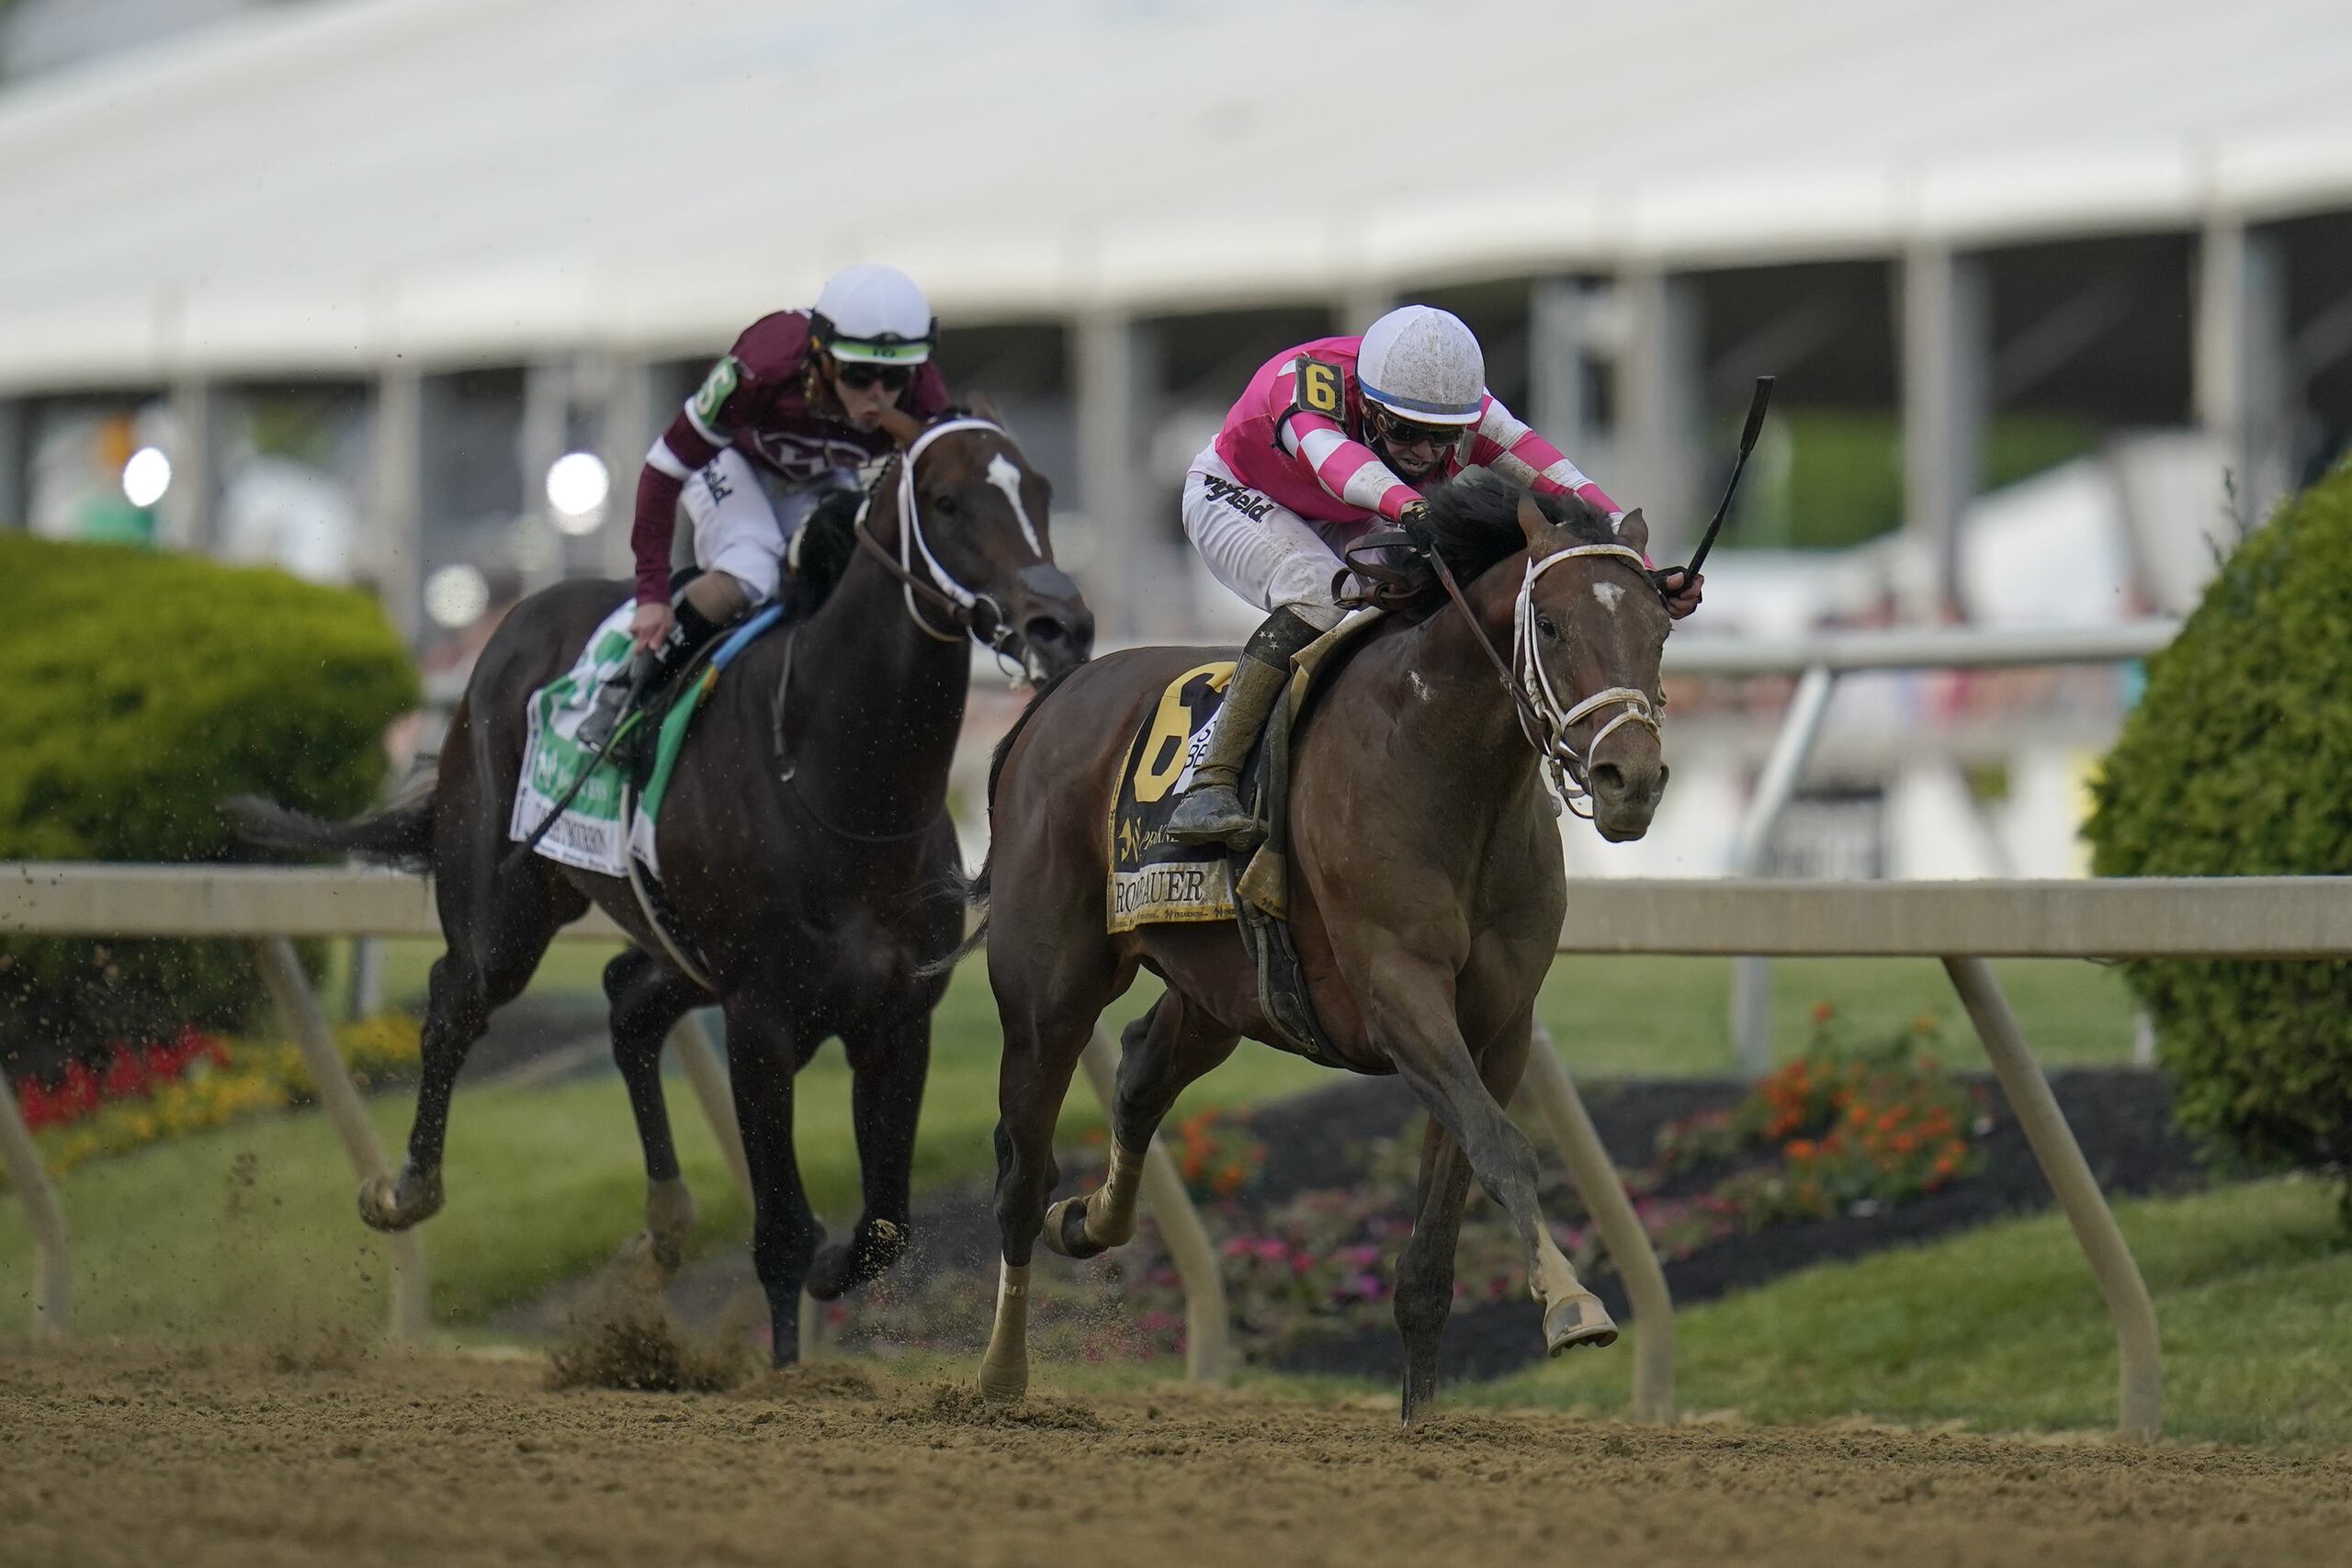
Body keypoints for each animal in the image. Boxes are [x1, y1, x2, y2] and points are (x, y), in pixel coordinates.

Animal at [236, 415, 1081, 1363]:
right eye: (945, 501)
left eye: (1040, 491)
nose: (1062, 624)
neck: (841, 782)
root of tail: (514, 620)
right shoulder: (761, 1019)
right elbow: (781, 1230)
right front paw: (784, 1365)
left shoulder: (898, 1015)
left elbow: (885, 1227)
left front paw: (832, 1270)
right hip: (506, 908)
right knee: (456, 997)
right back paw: (406, 1187)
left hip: (678, 944)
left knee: (626, 1001)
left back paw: (663, 1226)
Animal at [968, 479, 1674, 1419]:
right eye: (1553, 625)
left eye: (1659, 625)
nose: (1630, 780)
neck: (1441, 762)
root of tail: (1056, 697)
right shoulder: (1398, 994)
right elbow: (1504, 1148)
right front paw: (1571, 1304)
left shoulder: (1497, 1026)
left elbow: (1432, 1255)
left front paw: (1422, 1420)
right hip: (1048, 990)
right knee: (1020, 1175)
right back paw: (1000, 1374)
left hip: (1224, 989)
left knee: (1142, 1069)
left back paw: (1089, 1217)